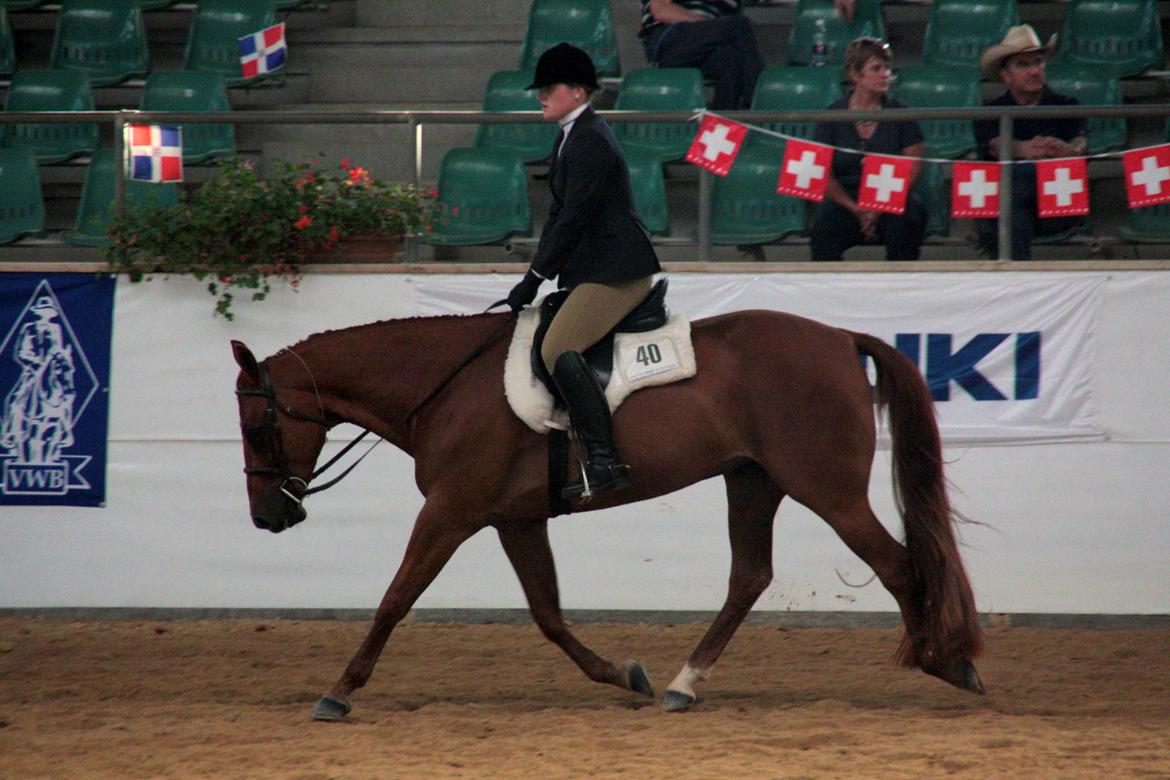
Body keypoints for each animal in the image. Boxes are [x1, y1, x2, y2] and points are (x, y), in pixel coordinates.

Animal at [232, 306, 982, 720]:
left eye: (254, 427)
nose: (268, 518)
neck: (444, 388)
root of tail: (838, 338)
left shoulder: (451, 510)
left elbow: (394, 599)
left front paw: (338, 693)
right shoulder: (514, 519)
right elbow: (547, 614)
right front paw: (625, 676)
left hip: (825, 487)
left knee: (897, 565)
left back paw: (944, 663)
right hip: (753, 480)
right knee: (749, 577)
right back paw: (682, 685)